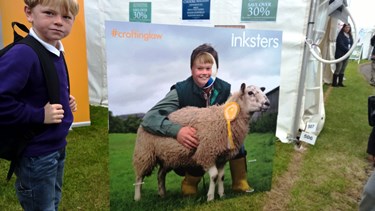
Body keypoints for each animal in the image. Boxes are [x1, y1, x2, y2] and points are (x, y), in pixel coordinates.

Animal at [134, 82, 272, 201]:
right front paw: (210, 197)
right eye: (250, 93)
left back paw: (162, 194)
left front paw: (221, 195)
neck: (224, 118)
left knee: (160, 174)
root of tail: (143, 121)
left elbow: (221, 176)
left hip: (166, 157)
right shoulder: (206, 152)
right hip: (144, 154)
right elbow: (214, 176)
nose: (267, 103)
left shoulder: (222, 157)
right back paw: (138, 198)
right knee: (139, 177)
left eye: (261, 91)